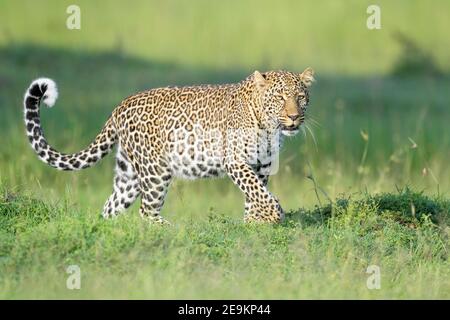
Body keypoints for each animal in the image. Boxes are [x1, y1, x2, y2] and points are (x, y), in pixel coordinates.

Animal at [22, 68, 314, 222]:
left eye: (301, 97)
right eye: (279, 97)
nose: (294, 116)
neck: (267, 125)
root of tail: (119, 106)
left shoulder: (263, 164)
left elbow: (255, 193)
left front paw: (254, 221)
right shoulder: (235, 160)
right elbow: (256, 190)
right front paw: (273, 214)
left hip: (129, 175)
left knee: (110, 207)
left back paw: (108, 229)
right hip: (155, 171)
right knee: (146, 210)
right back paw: (170, 229)